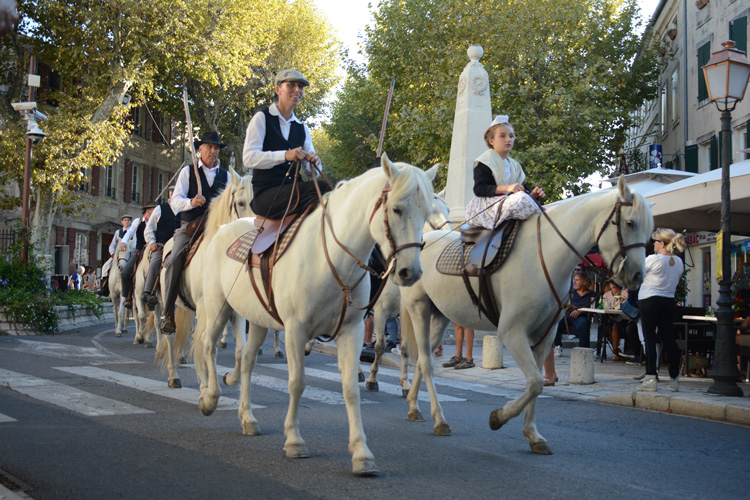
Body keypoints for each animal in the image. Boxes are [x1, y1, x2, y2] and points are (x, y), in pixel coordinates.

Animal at [159, 170, 256, 388]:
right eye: (241, 203)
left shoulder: (234, 311)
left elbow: (240, 349)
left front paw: (230, 378)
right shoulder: (205, 306)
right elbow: (204, 345)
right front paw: (206, 386)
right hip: (169, 302)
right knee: (169, 336)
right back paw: (173, 376)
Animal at [195, 157, 440, 476]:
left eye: (425, 213)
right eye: (396, 209)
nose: (411, 272)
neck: (334, 258)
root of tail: (224, 228)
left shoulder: (352, 331)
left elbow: (350, 389)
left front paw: (361, 453)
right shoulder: (296, 330)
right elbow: (297, 383)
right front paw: (294, 440)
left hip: (258, 319)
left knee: (247, 360)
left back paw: (247, 417)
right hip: (218, 306)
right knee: (209, 347)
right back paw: (210, 398)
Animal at [364, 193, 452, 392]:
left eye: (448, 210)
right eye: (430, 211)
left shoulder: (404, 314)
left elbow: (404, 348)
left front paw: (405, 383)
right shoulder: (381, 311)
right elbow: (380, 346)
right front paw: (372, 379)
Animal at [400, 178, 652, 452]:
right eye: (630, 223)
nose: (638, 276)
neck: (545, 255)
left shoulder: (544, 335)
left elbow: (537, 383)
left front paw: (533, 435)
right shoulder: (512, 332)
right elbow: (535, 382)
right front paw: (498, 418)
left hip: (440, 316)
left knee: (422, 360)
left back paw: (414, 406)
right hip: (419, 310)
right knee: (426, 362)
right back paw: (440, 420)